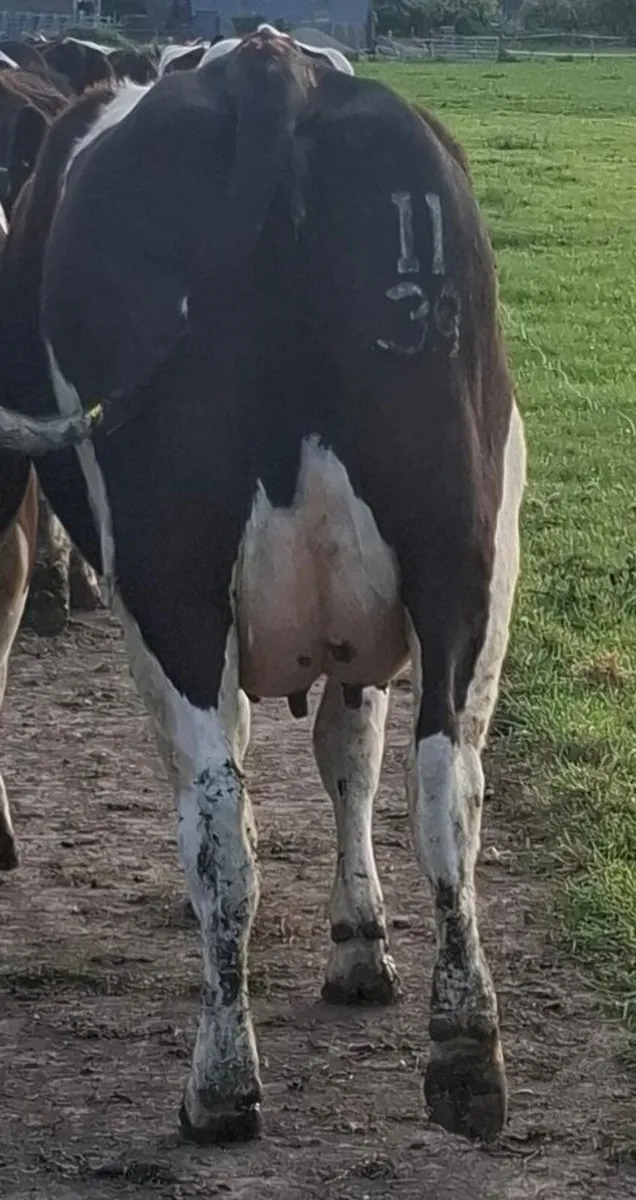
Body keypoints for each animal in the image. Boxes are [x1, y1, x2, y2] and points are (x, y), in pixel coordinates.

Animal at [0, 27, 526, 1145]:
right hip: (468, 544)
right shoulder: (370, 630)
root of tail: (268, 66)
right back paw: (466, 1049)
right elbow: (352, 756)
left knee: (214, 812)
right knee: (445, 776)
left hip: (169, 577)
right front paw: (361, 941)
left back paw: (221, 1080)